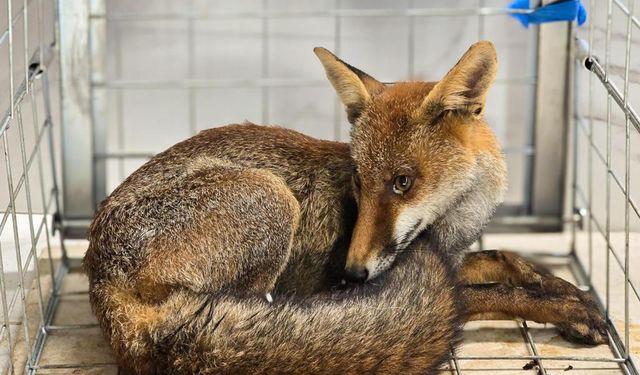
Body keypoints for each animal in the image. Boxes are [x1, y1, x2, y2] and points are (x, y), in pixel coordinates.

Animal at [85, 41, 608, 375]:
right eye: (359, 182)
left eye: (402, 182)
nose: (354, 275)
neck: (451, 226)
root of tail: (99, 275)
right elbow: (485, 293)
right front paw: (560, 306)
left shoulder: (439, 256)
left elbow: (503, 259)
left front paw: (566, 291)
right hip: (272, 202)